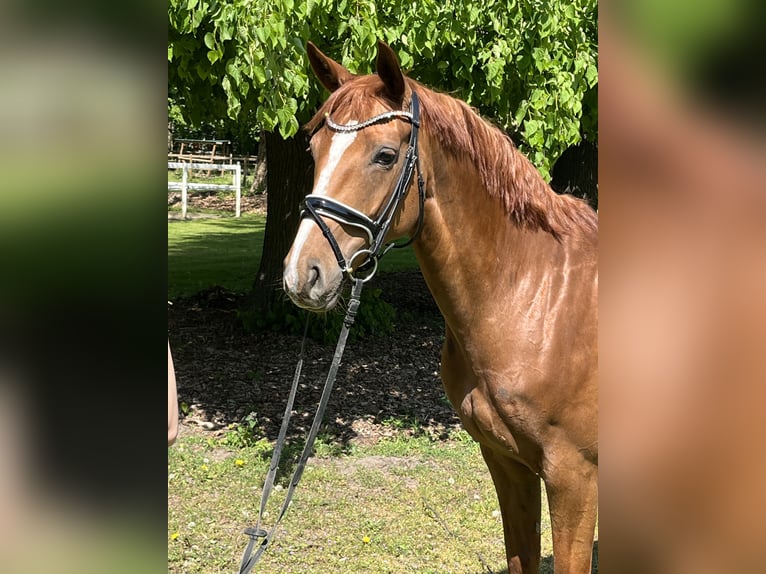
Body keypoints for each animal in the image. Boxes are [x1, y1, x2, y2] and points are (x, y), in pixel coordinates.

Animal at [283, 40, 598, 574]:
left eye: (385, 156)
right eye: (314, 150)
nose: (303, 274)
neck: (534, 298)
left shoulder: (574, 478)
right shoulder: (507, 463)